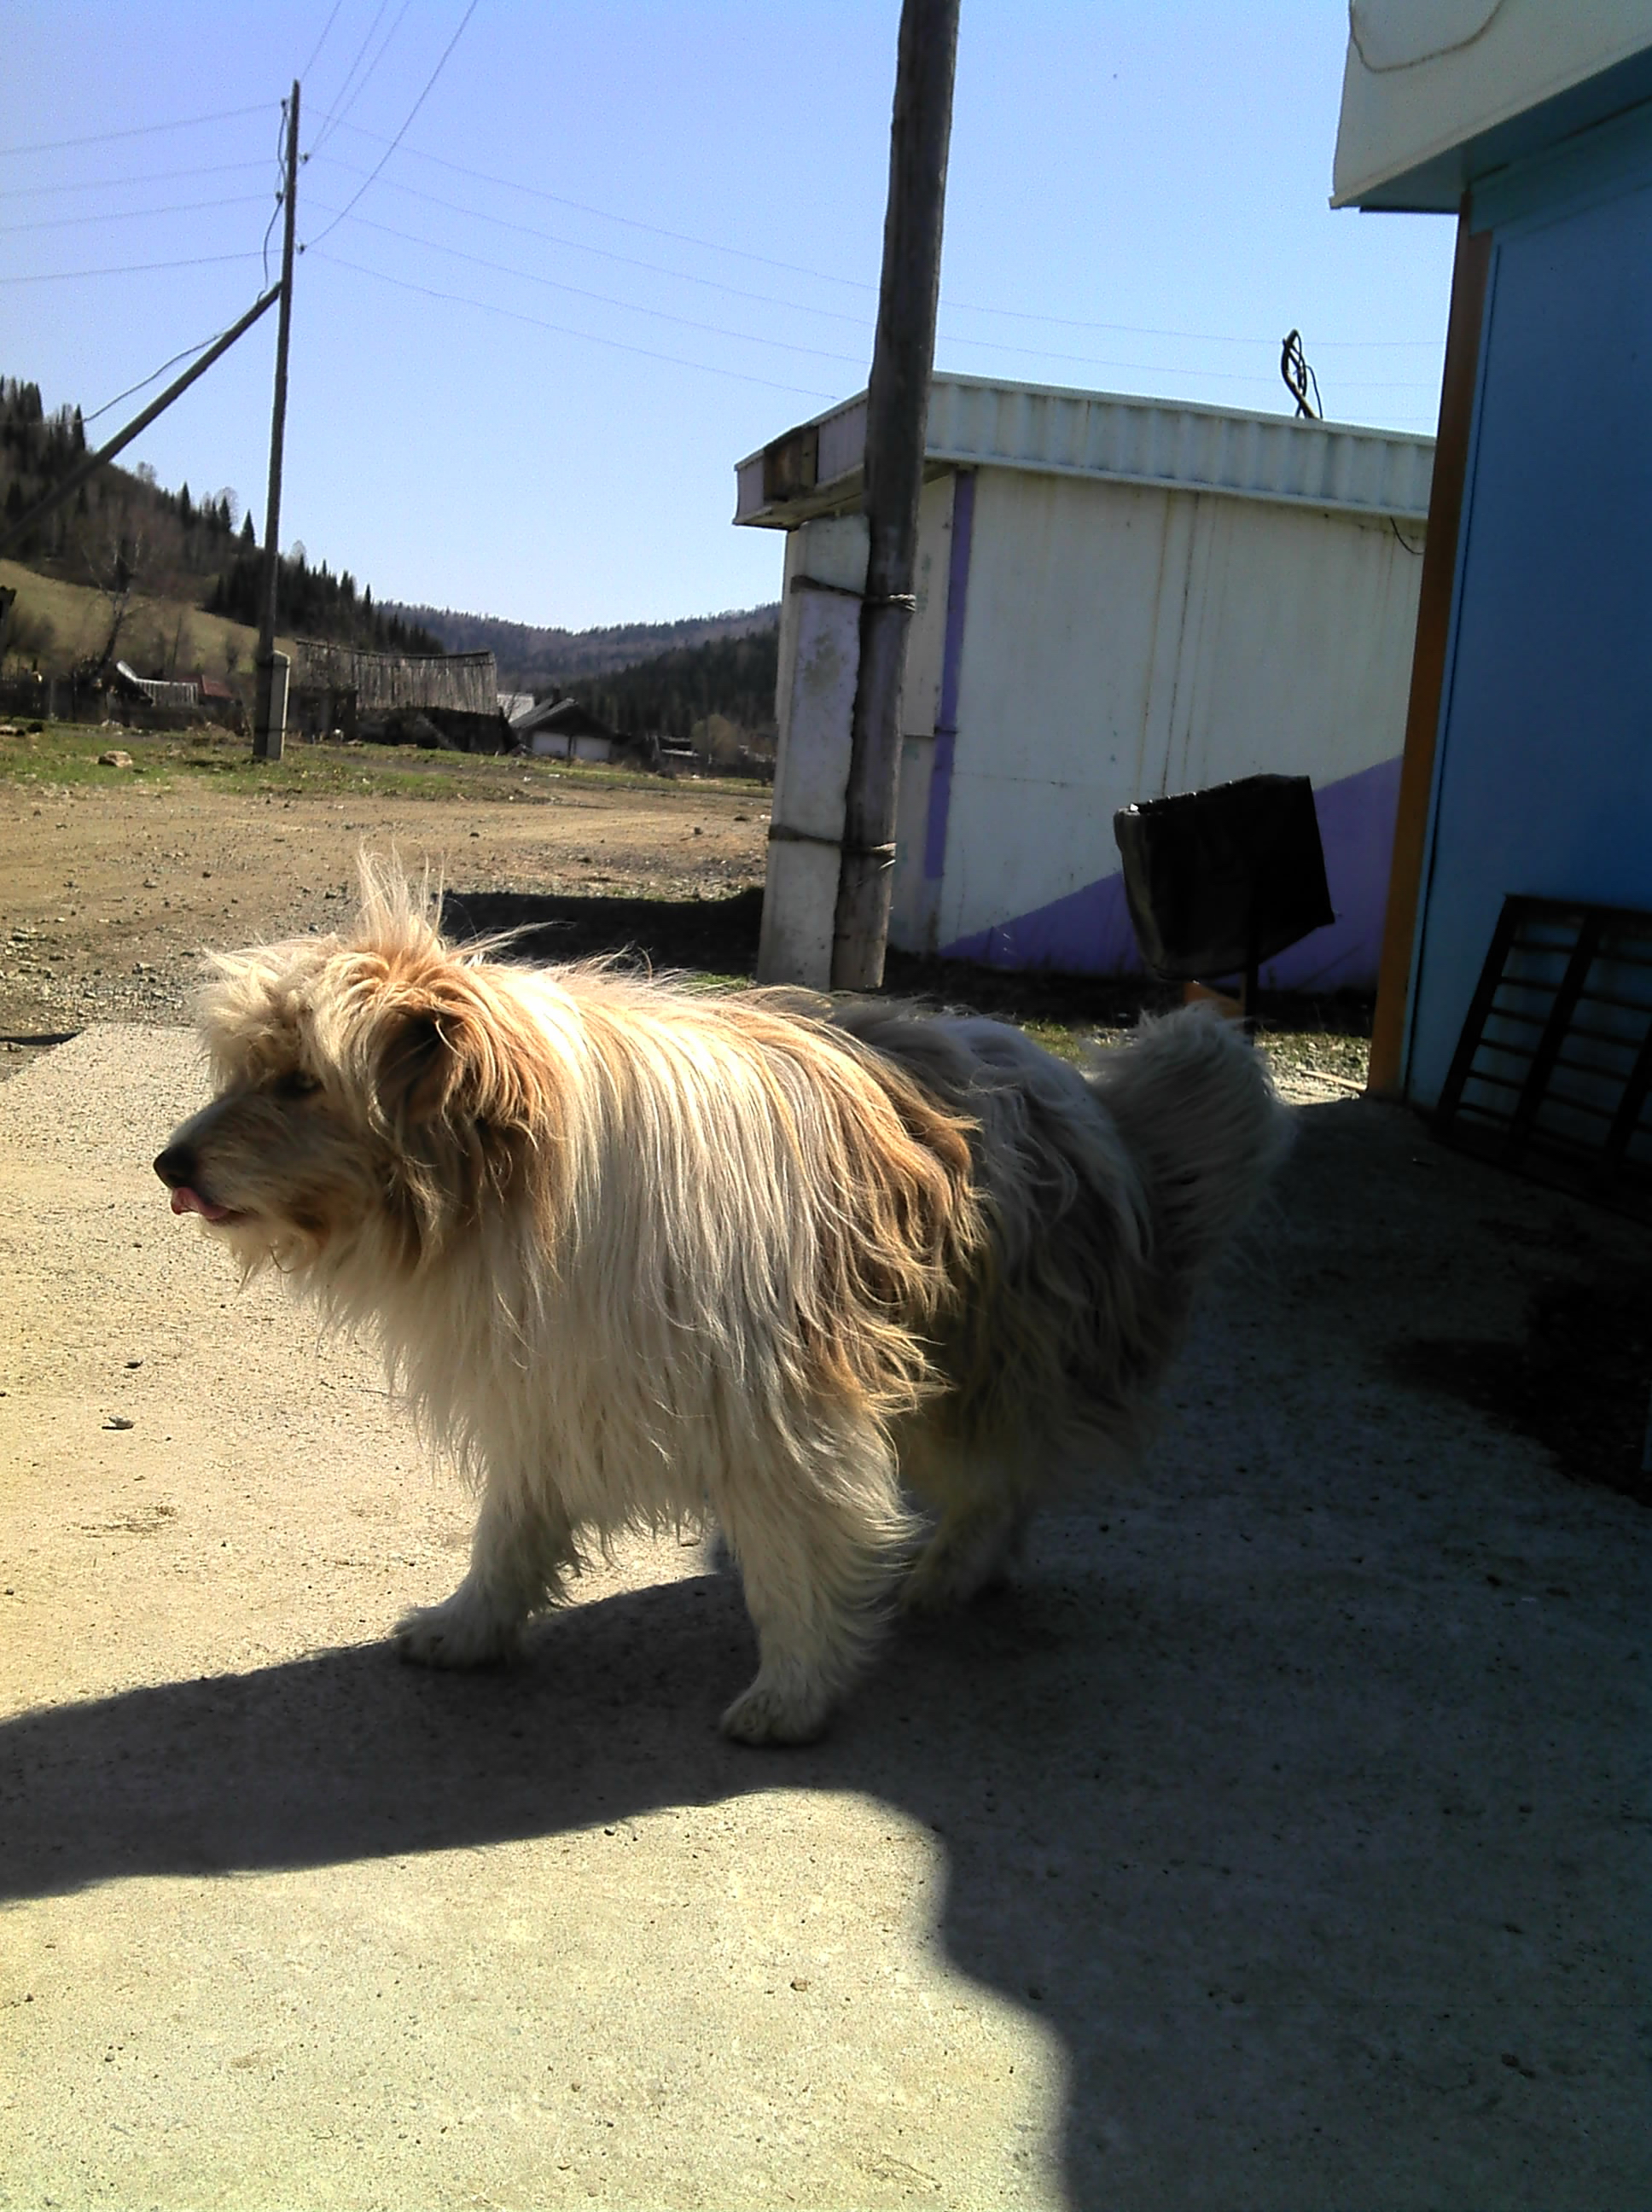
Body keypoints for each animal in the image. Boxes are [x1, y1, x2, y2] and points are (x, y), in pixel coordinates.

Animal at [154, 864, 1289, 1744]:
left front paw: (794, 1695)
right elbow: (510, 1528)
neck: (527, 1177)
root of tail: (1090, 1104)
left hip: (976, 1350)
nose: (169, 1163)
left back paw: (951, 1571)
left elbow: (796, 1561)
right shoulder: (549, 1384)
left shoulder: (780, 1408)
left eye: (301, 1082)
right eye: (245, 1071)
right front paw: (472, 1627)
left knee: (1003, 1473)